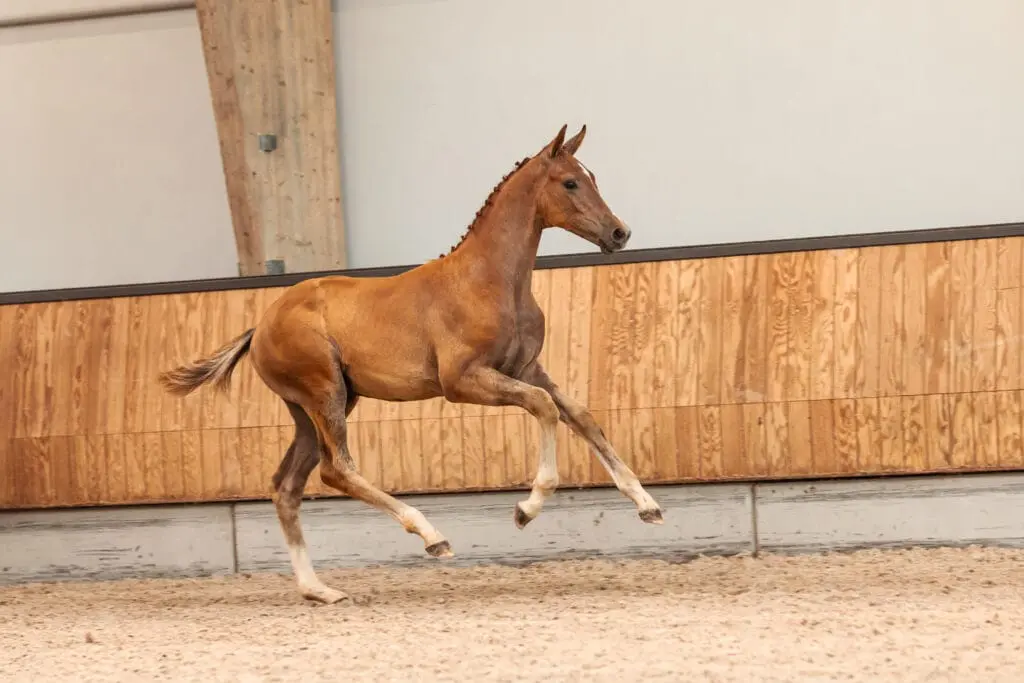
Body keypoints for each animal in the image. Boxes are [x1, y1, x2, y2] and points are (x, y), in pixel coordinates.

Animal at [158, 124, 664, 604]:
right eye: (570, 182)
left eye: (592, 177)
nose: (619, 233)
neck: (490, 281)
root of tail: (260, 326)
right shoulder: (463, 381)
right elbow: (543, 407)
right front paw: (527, 509)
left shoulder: (526, 369)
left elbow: (578, 414)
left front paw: (647, 505)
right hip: (325, 395)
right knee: (336, 469)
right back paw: (432, 536)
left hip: (312, 408)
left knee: (287, 486)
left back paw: (318, 590)